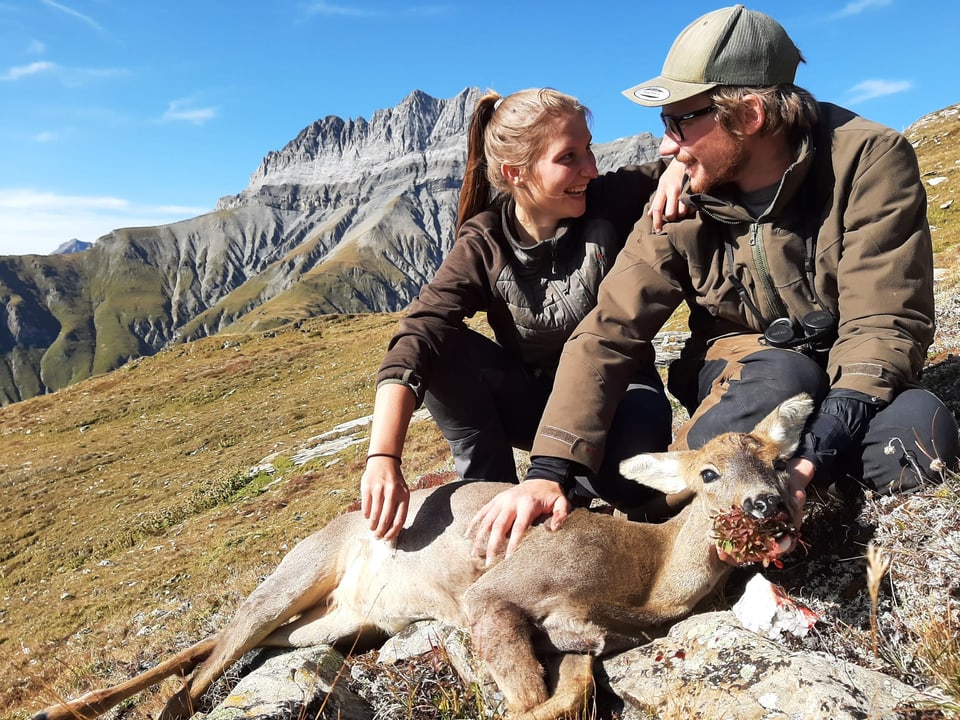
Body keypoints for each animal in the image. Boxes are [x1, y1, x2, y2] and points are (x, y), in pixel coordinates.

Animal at [35, 394, 808, 720]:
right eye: (707, 473)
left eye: (777, 461)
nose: (767, 505)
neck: (648, 580)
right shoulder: (496, 593)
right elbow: (532, 701)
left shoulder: (583, 637)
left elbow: (572, 691)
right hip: (296, 573)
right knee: (202, 668)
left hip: (335, 623)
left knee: (221, 649)